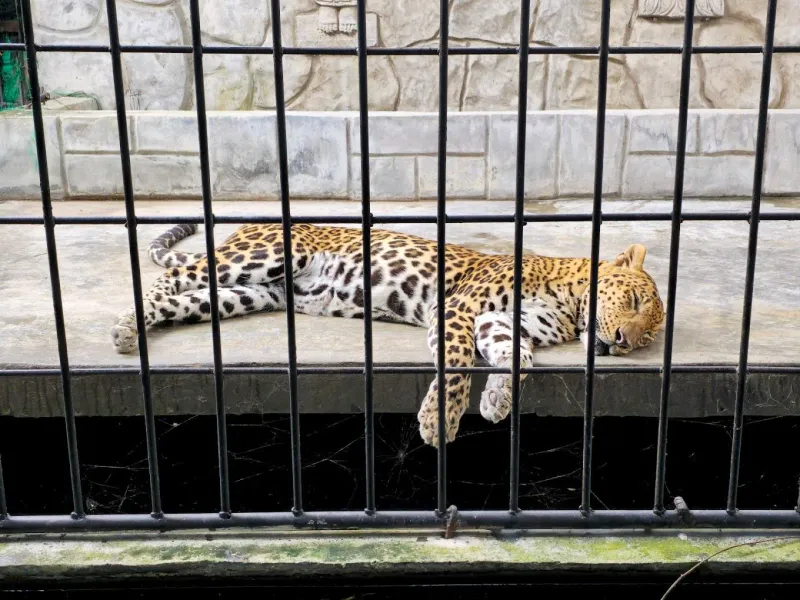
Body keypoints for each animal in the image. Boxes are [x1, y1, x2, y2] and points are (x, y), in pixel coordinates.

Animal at [111, 223, 666, 447]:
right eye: (635, 303)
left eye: (646, 339)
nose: (621, 341)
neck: (570, 303)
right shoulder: (458, 309)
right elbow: (457, 362)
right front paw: (439, 421)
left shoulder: (500, 322)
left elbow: (518, 358)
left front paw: (498, 399)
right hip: (262, 255)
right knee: (173, 276)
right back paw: (124, 324)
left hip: (249, 293)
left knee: (184, 297)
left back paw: (134, 327)